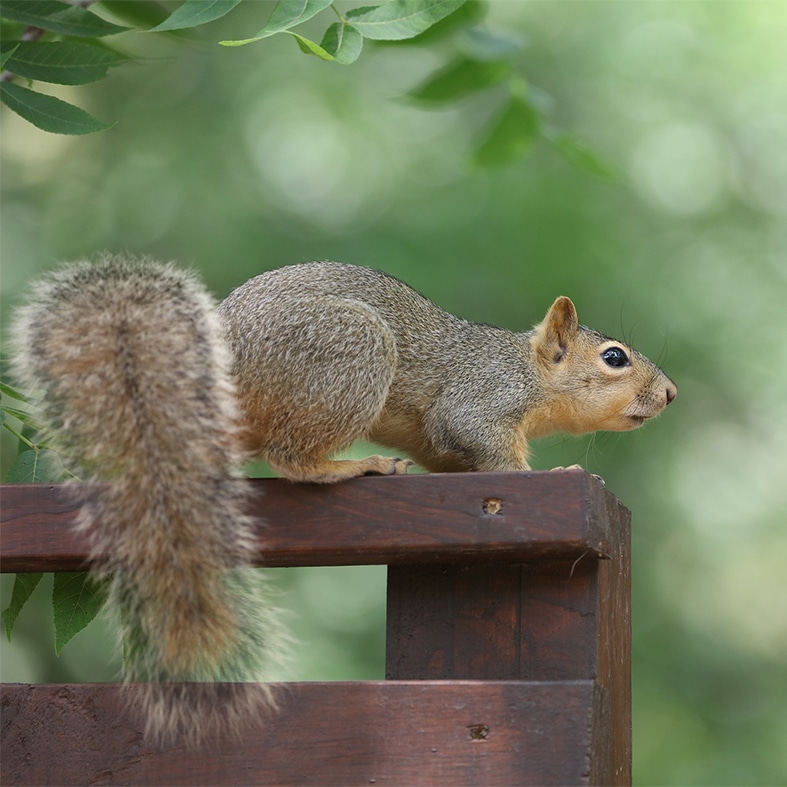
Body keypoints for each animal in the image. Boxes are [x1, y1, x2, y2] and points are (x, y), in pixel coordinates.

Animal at [9, 255, 676, 748]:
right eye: (614, 357)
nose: (671, 393)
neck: (527, 370)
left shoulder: (443, 442)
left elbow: (448, 458)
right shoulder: (478, 402)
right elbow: (489, 450)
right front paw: (557, 469)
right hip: (348, 355)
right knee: (291, 458)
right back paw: (355, 464)